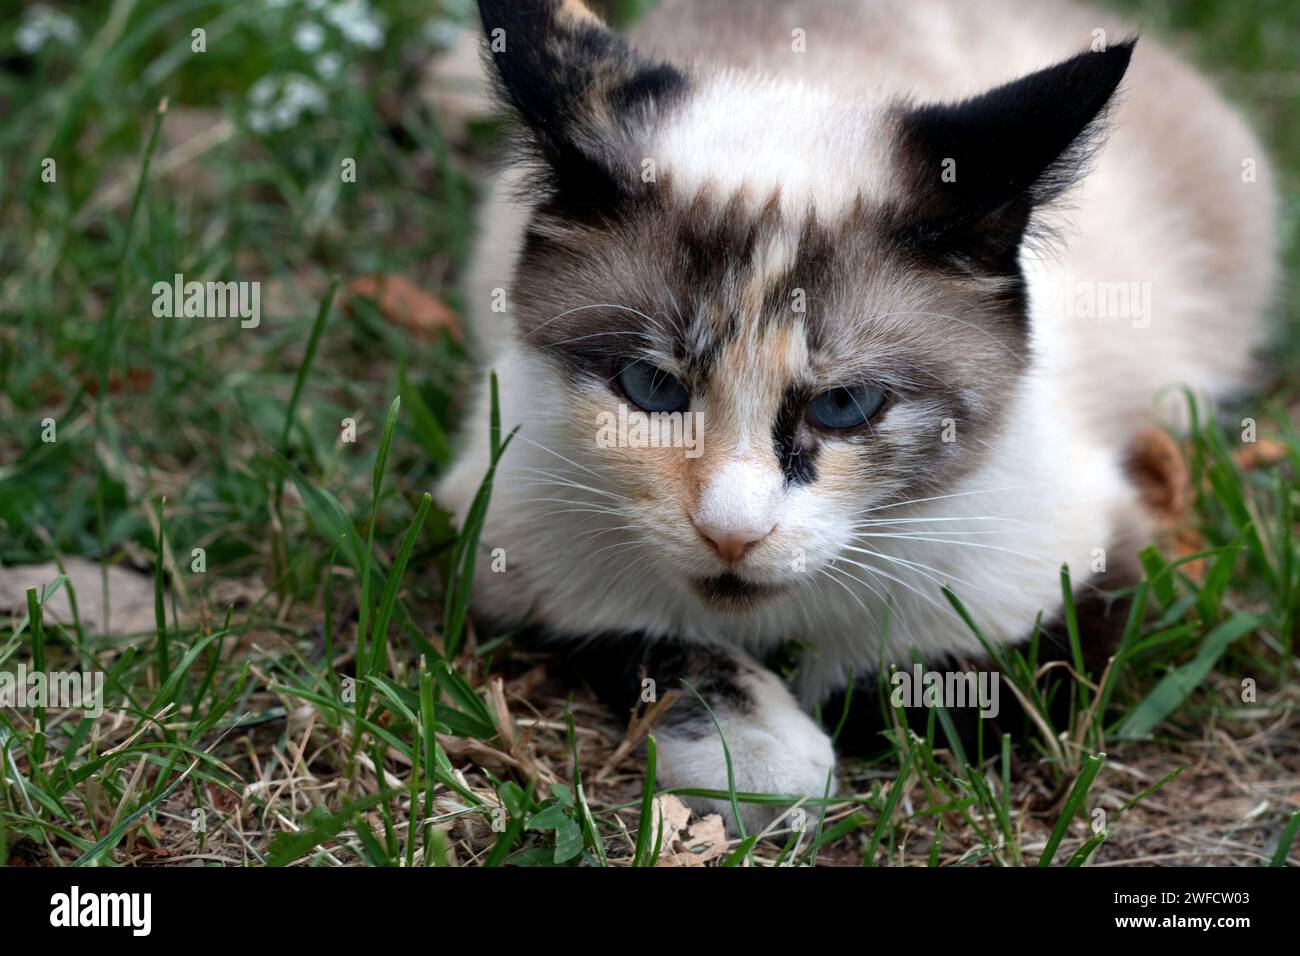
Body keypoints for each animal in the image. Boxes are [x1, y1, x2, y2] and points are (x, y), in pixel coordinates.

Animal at [436, 0, 1279, 832]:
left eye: (844, 406)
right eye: (650, 388)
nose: (731, 536)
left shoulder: (1088, 573)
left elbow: (916, 687)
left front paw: (799, 736)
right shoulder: (513, 544)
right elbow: (655, 643)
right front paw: (763, 761)